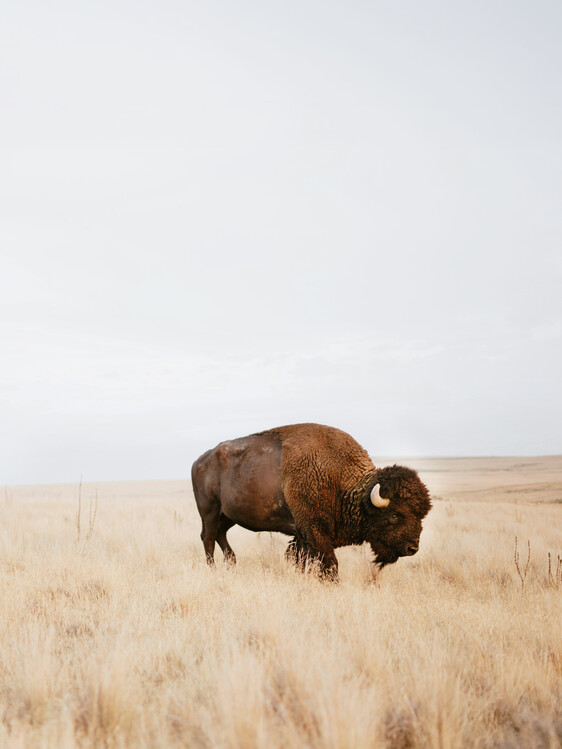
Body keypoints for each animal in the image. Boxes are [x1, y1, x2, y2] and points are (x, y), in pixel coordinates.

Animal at [191, 423, 431, 579]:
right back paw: (213, 569)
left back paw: (232, 563)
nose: (412, 548)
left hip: (227, 516)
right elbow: (330, 563)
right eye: (395, 515)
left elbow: (302, 559)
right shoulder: (314, 530)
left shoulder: (303, 535)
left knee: (221, 536)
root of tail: (198, 461)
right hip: (209, 512)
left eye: (421, 515)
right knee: (208, 538)